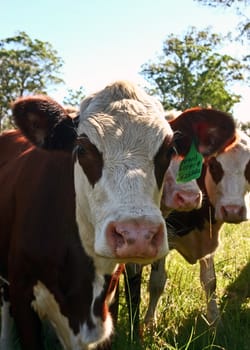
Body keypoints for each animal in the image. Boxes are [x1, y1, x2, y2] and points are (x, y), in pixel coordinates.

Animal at [124, 129, 249, 336]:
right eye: (214, 165)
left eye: (249, 166)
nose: (233, 210)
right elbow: (157, 282)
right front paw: (149, 324)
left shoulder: (207, 238)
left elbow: (210, 281)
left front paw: (215, 322)